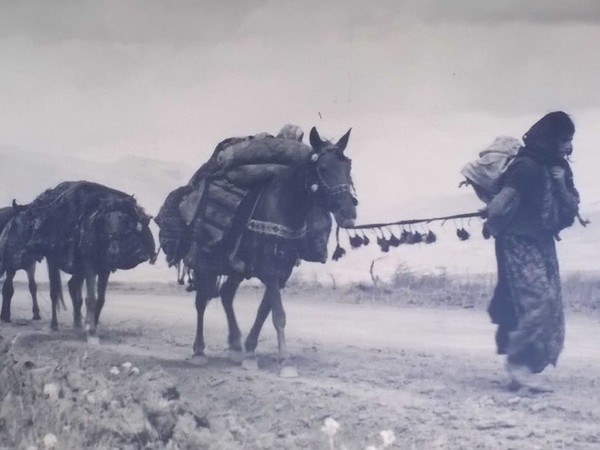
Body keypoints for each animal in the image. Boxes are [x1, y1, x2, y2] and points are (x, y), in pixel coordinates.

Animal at [190, 126, 356, 376]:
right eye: (323, 168)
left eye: (348, 167)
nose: (349, 212)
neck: (284, 209)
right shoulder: (269, 271)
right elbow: (278, 315)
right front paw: (285, 362)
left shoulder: (281, 273)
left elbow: (264, 313)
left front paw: (250, 352)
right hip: (203, 262)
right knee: (201, 302)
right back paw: (199, 351)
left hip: (237, 270)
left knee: (226, 295)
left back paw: (236, 346)